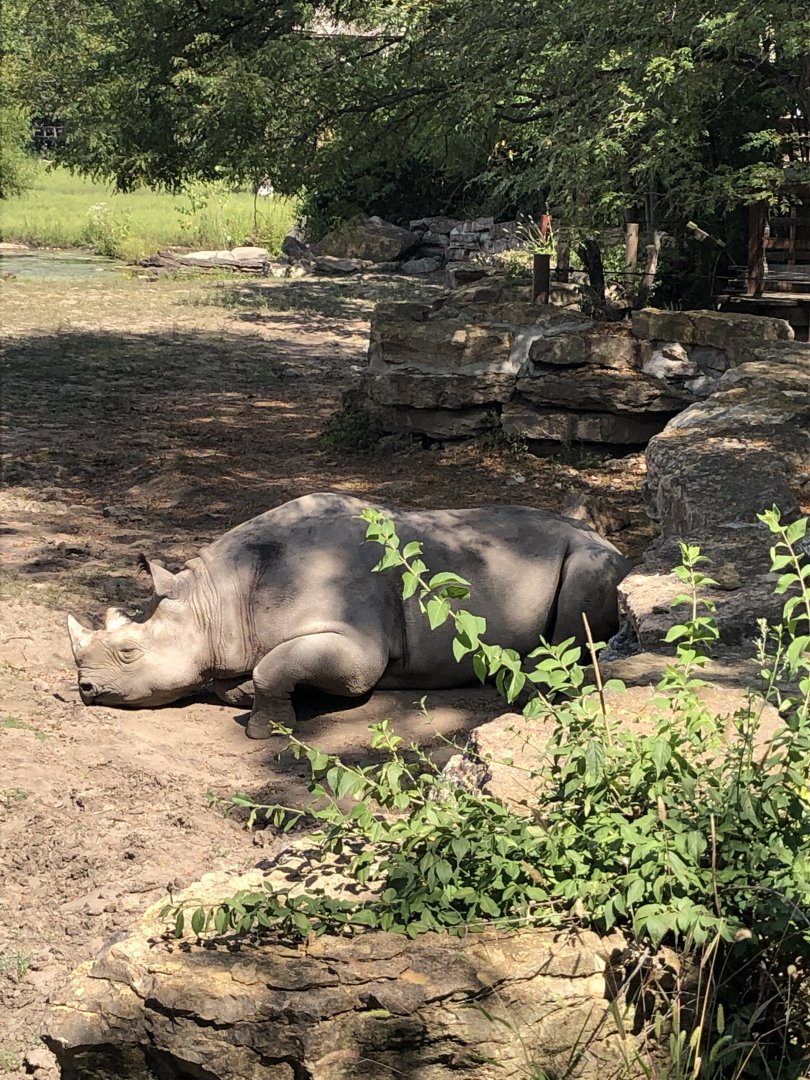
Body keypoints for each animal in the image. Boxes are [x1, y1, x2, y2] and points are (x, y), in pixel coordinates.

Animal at [67, 492, 629, 739]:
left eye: (129, 652)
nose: (86, 690)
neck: (219, 599)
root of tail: (614, 544)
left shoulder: (357, 646)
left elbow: (274, 667)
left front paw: (264, 730)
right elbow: (248, 674)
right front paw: (247, 694)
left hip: (592, 558)